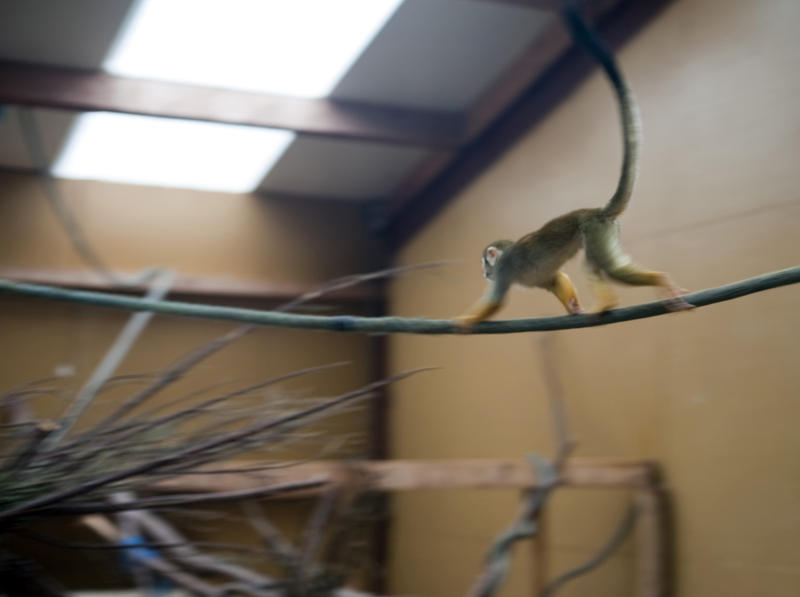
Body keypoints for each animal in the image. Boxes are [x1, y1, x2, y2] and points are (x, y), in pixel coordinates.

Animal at [454, 2, 692, 328]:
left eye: (485, 264)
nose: (483, 273)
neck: (505, 255)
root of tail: (597, 211)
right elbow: (555, 278)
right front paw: (572, 307)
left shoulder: (505, 268)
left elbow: (496, 301)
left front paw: (462, 323)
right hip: (604, 231)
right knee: (598, 265)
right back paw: (616, 298)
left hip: (592, 230)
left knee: (606, 267)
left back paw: (650, 283)